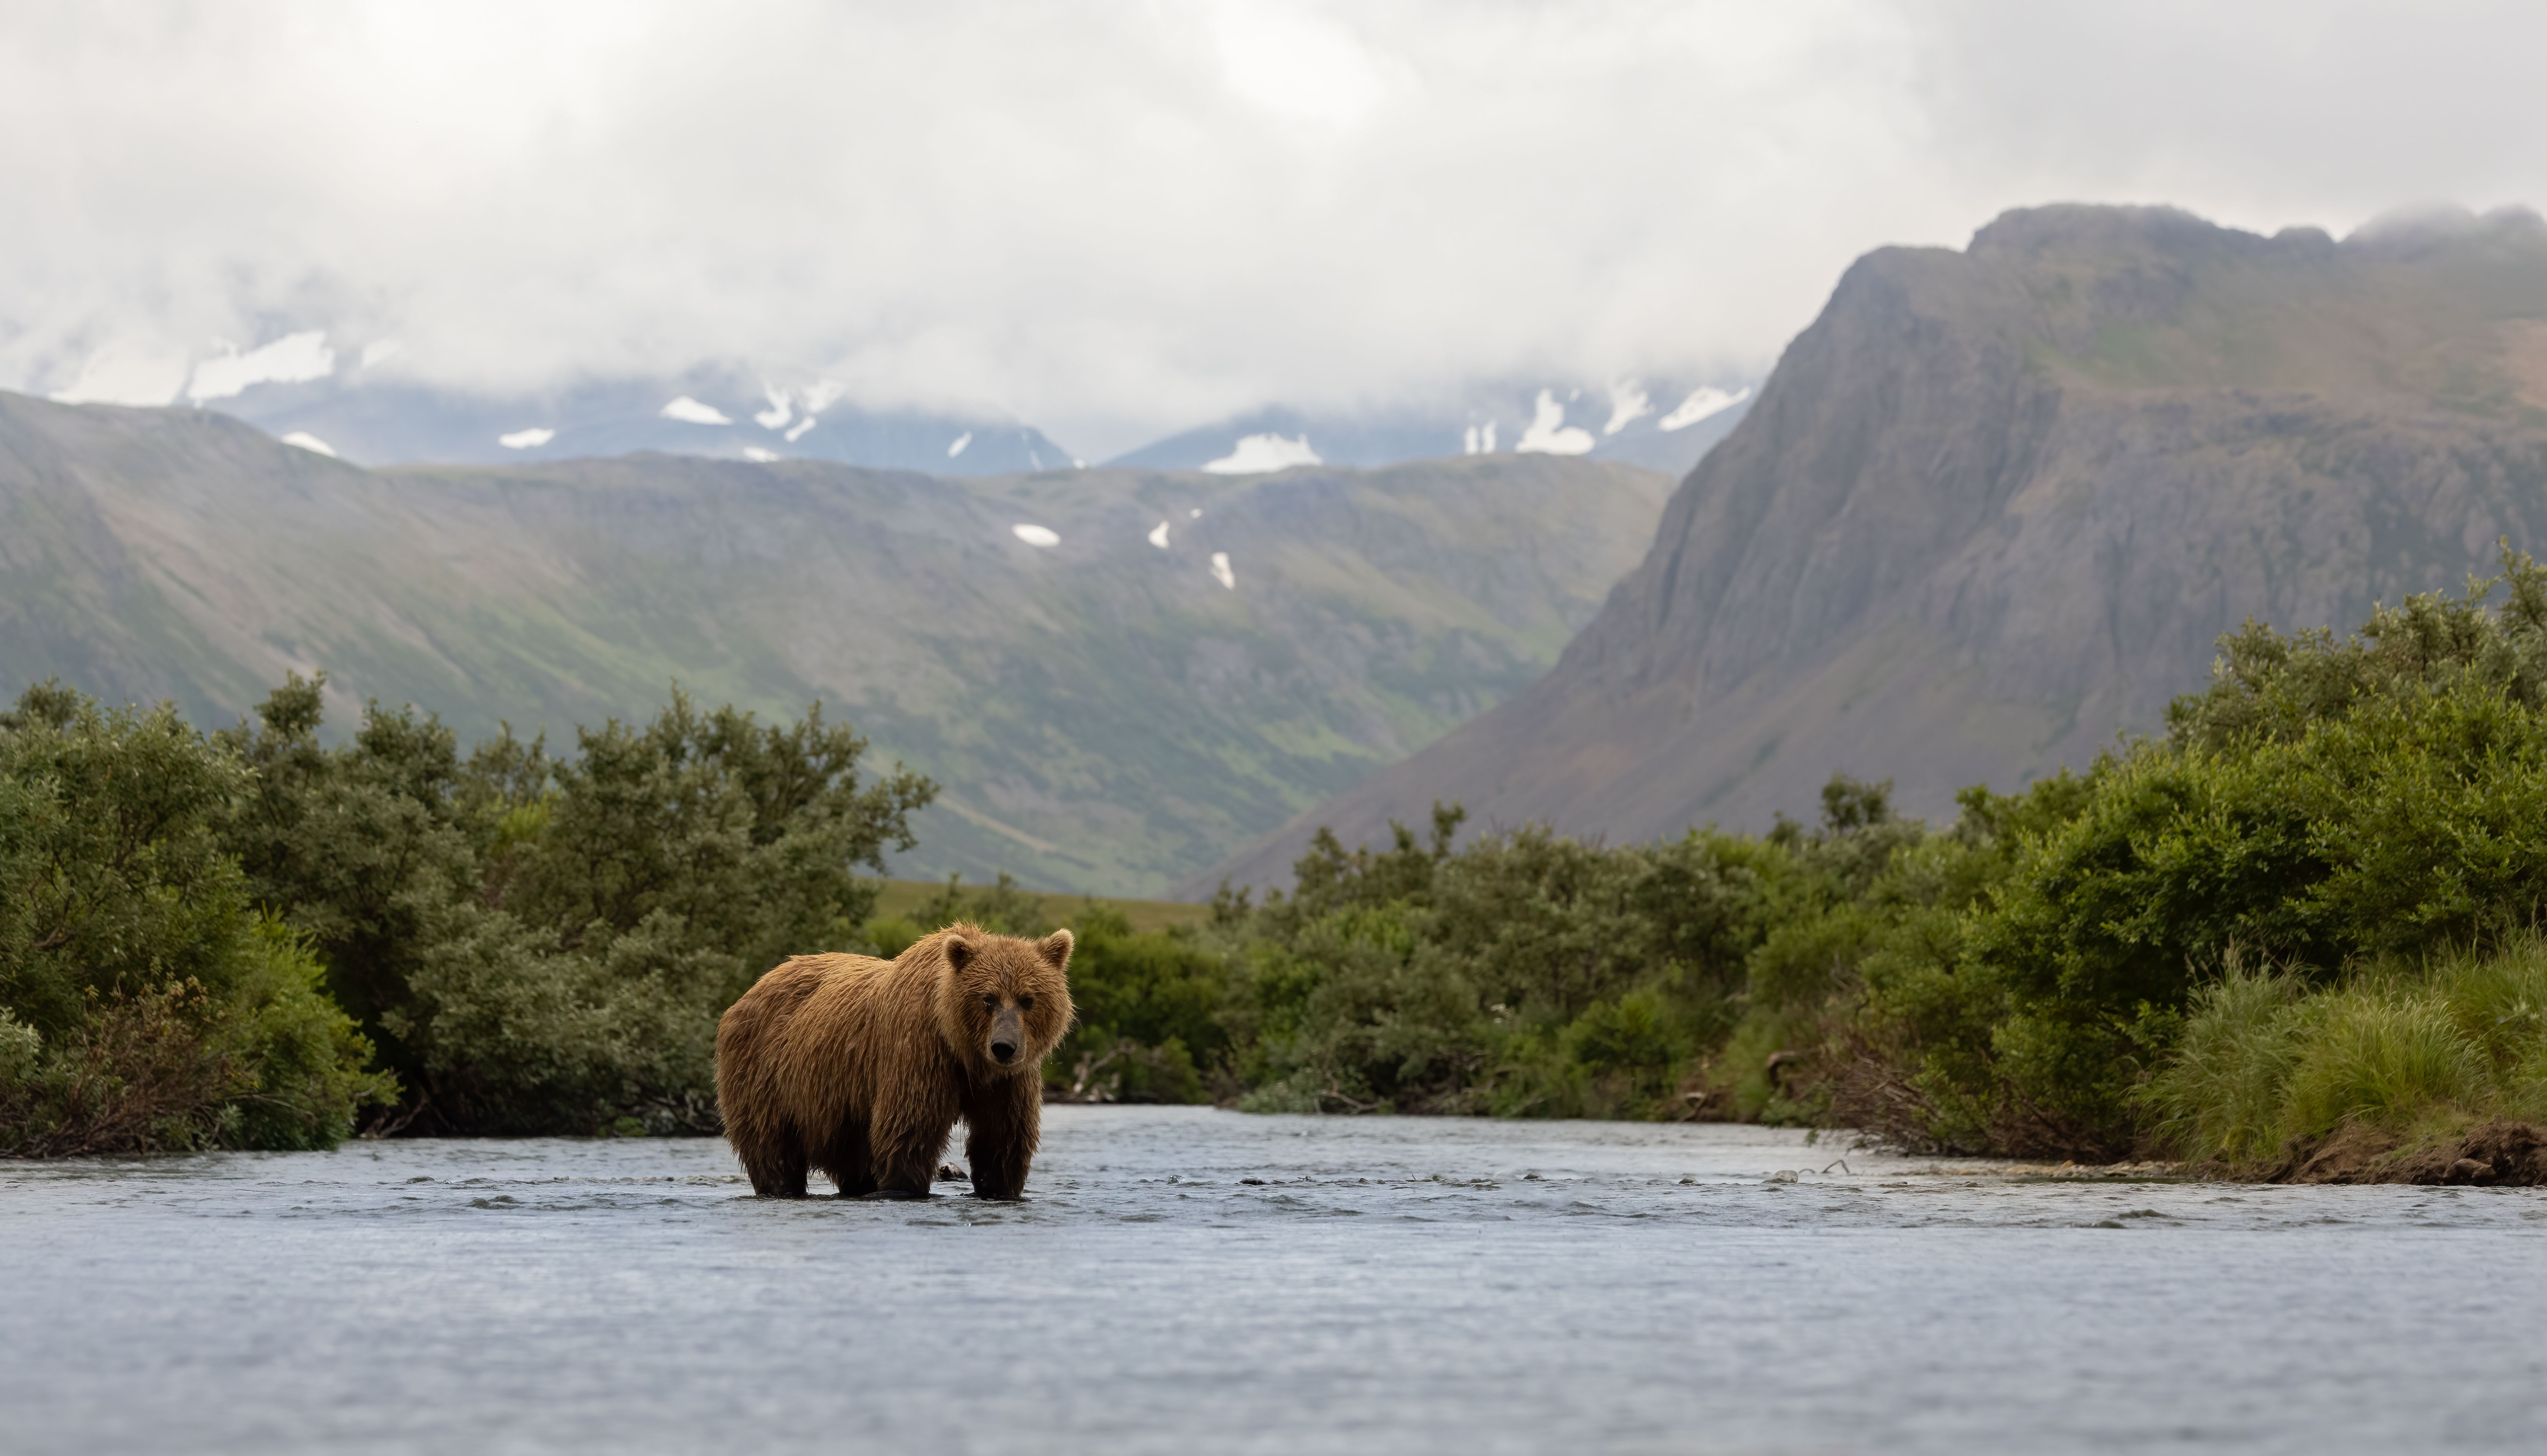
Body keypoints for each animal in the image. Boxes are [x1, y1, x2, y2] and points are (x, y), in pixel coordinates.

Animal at [715, 923, 1074, 1199]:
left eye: (1028, 999)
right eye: (988, 998)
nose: (1004, 1047)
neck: (964, 1050)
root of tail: (755, 986)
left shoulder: (1008, 1082)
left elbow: (1003, 1137)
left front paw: (998, 1187)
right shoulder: (918, 1052)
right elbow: (908, 1129)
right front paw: (904, 1187)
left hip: (839, 1101)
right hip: (765, 1072)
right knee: (771, 1144)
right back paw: (780, 1186)